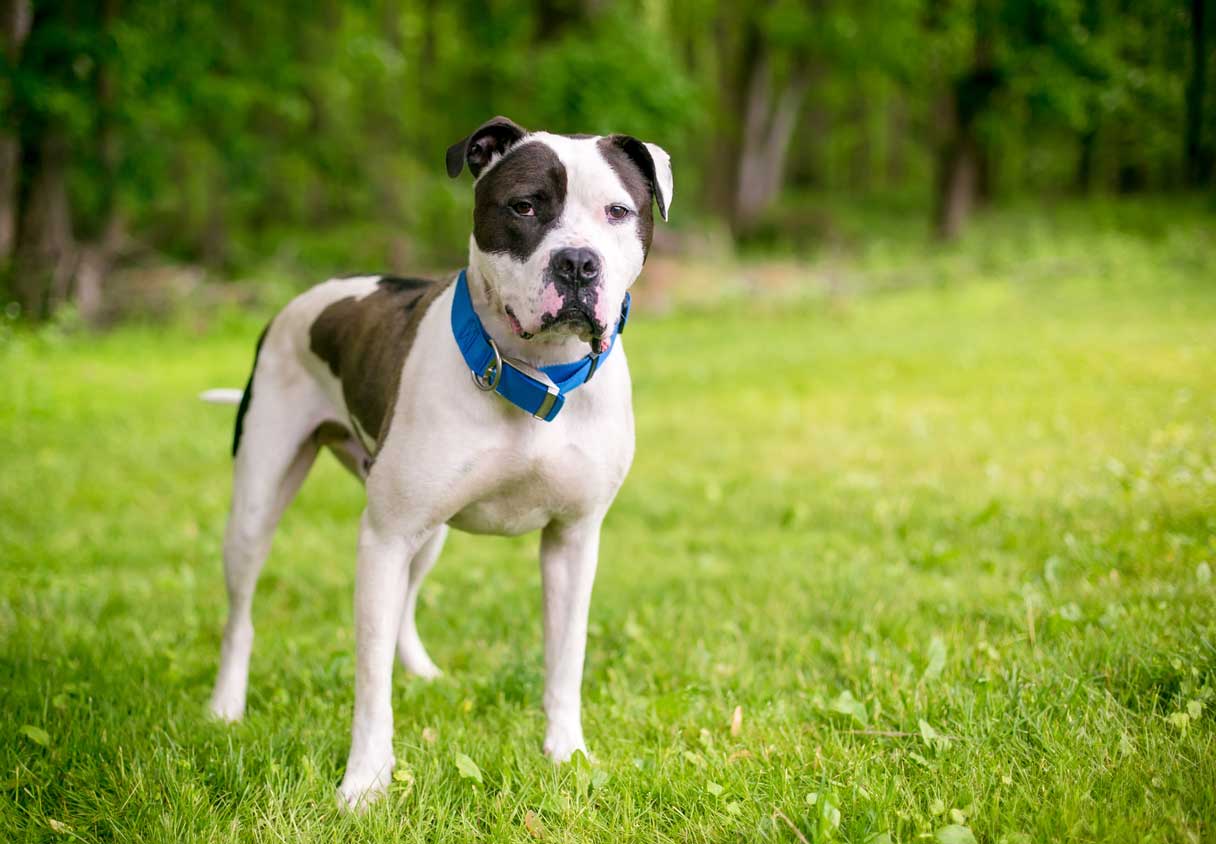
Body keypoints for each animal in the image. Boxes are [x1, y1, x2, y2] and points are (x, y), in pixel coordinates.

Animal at [201, 115, 676, 812]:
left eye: (618, 211)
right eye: (524, 206)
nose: (578, 262)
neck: (538, 376)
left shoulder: (573, 540)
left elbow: (566, 658)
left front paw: (567, 754)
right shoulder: (384, 536)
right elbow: (370, 681)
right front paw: (365, 782)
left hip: (427, 535)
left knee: (404, 599)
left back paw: (422, 671)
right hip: (259, 506)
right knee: (241, 616)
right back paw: (225, 707)